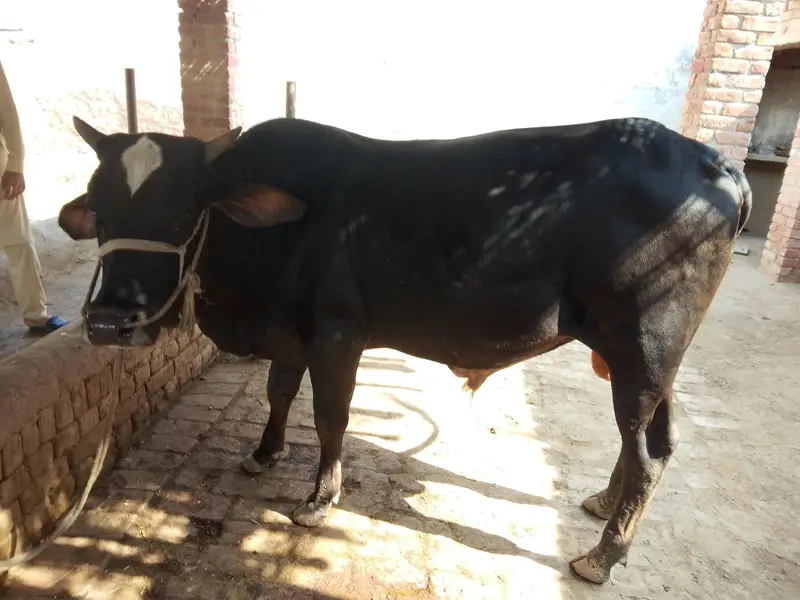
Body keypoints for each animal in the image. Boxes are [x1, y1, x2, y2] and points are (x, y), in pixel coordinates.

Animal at [57, 115, 751, 584]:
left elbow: (330, 417)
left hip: (644, 348)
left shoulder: (338, 334)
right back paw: (605, 504)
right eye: (100, 208)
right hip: (652, 364)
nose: (110, 322)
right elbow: (278, 393)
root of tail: (712, 162)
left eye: (181, 212)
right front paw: (264, 453)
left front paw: (319, 499)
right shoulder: (292, 333)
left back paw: (602, 555)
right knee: (653, 442)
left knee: (648, 454)